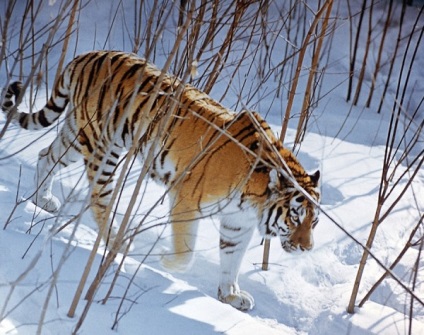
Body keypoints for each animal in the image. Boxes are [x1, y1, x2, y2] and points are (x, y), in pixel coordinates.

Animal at [1, 50, 320, 312]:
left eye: (313, 222)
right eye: (294, 217)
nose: (307, 248)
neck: (254, 201)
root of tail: (87, 55)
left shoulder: (236, 223)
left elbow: (231, 259)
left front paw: (230, 295)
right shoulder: (186, 199)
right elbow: (186, 251)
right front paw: (166, 260)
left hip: (76, 135)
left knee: (46, 155)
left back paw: (42, 200)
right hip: (102, 144)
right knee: (98, 197)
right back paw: (115, 240)